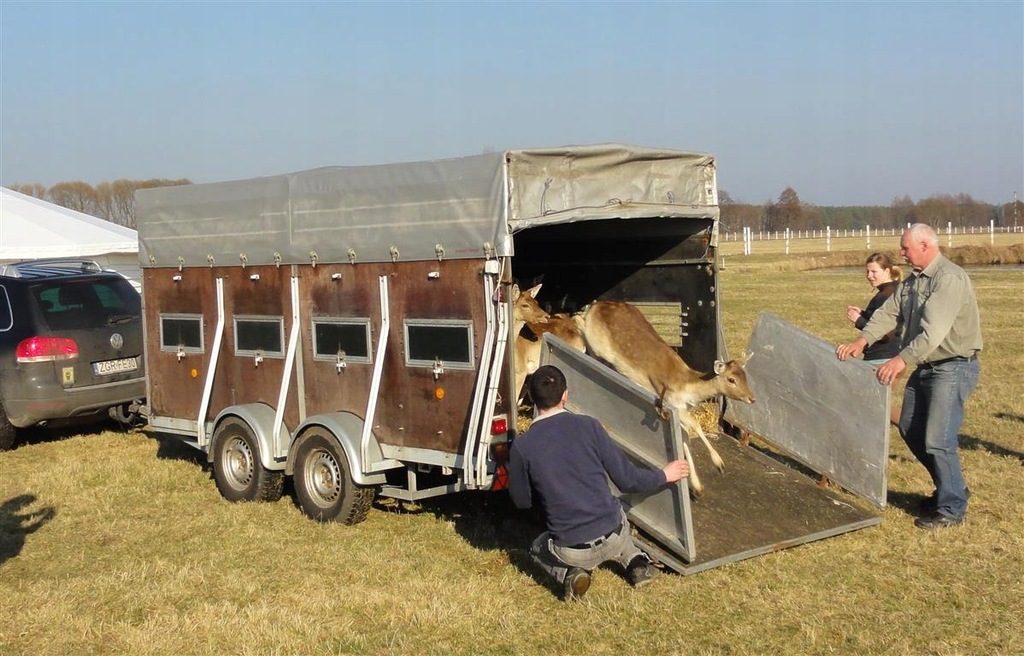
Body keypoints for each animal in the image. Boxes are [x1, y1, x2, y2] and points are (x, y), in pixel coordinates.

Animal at [581, 298, 757, 493]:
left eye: (745, 376)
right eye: (731, 379)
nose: (751, 398)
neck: (687, 386)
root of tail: (594, 304)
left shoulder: (681, 409)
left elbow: (685, 437)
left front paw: (697, 486)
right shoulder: (672, 403)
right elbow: (695, 426)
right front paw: (719, 464)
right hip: (595, 344)